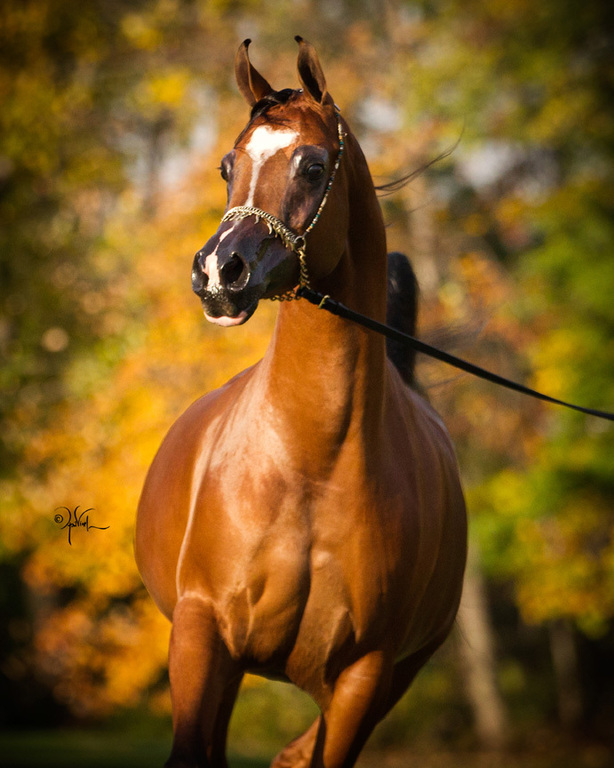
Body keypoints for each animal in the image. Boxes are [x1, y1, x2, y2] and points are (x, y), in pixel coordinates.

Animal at [136, 37, 467, 768]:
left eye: (313, 167)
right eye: (229, 164)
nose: (218, 273)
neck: (309, 463)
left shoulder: (366, 676)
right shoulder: (202, 633)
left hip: (391, 677)